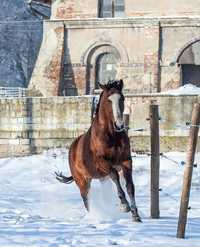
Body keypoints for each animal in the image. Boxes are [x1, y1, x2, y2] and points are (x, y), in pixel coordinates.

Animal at [55, 79, 141, 222]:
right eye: (108, 100)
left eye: (122, 98)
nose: (119, 125)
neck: (112, 136)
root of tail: (72, 148)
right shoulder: (103, 163)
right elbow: (115, 176)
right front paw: (124, 206)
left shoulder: (126, 161)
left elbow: (130, 186)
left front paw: (136, 215)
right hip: (83, 181)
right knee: (86, 200)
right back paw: (94, 216)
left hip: (101, 178)